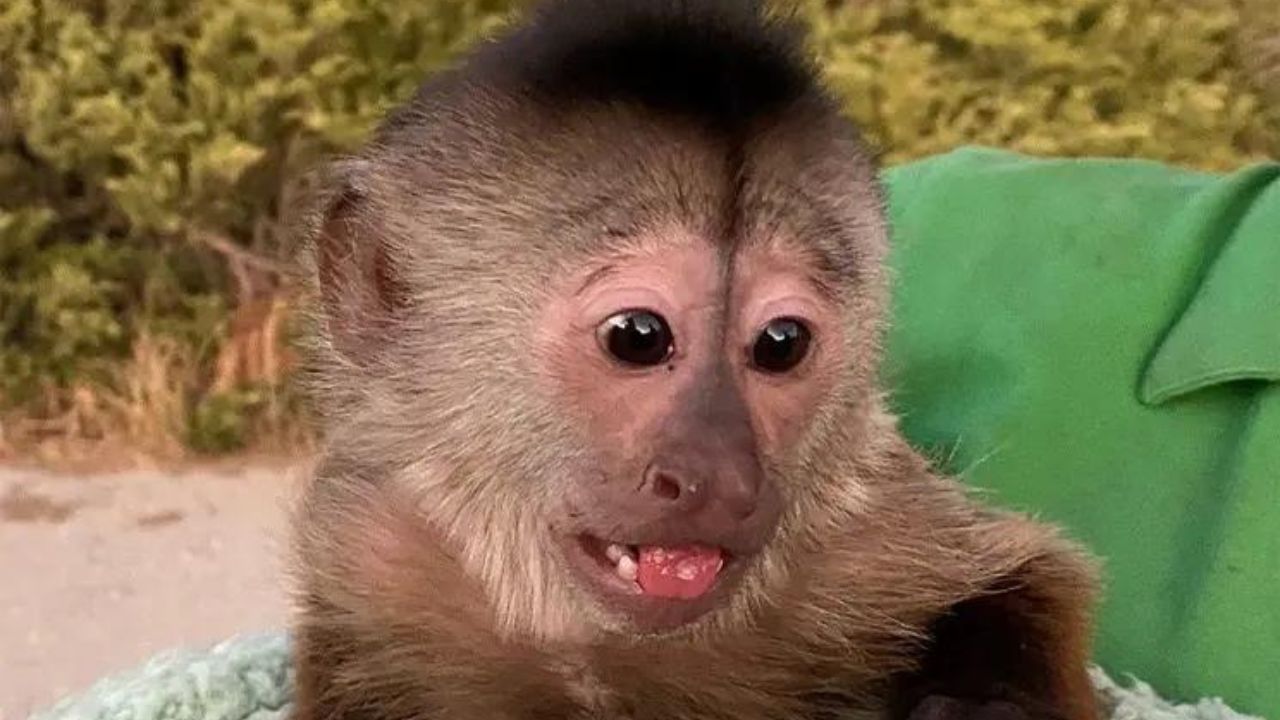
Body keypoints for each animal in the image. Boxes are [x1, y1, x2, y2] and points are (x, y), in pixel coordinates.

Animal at [288, 1, 1101, 719]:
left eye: (781, 345)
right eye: (638, 337)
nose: (723, 475)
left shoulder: (870, 528)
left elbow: (1035, 570)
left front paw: (986, 705)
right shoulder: (371, 554)